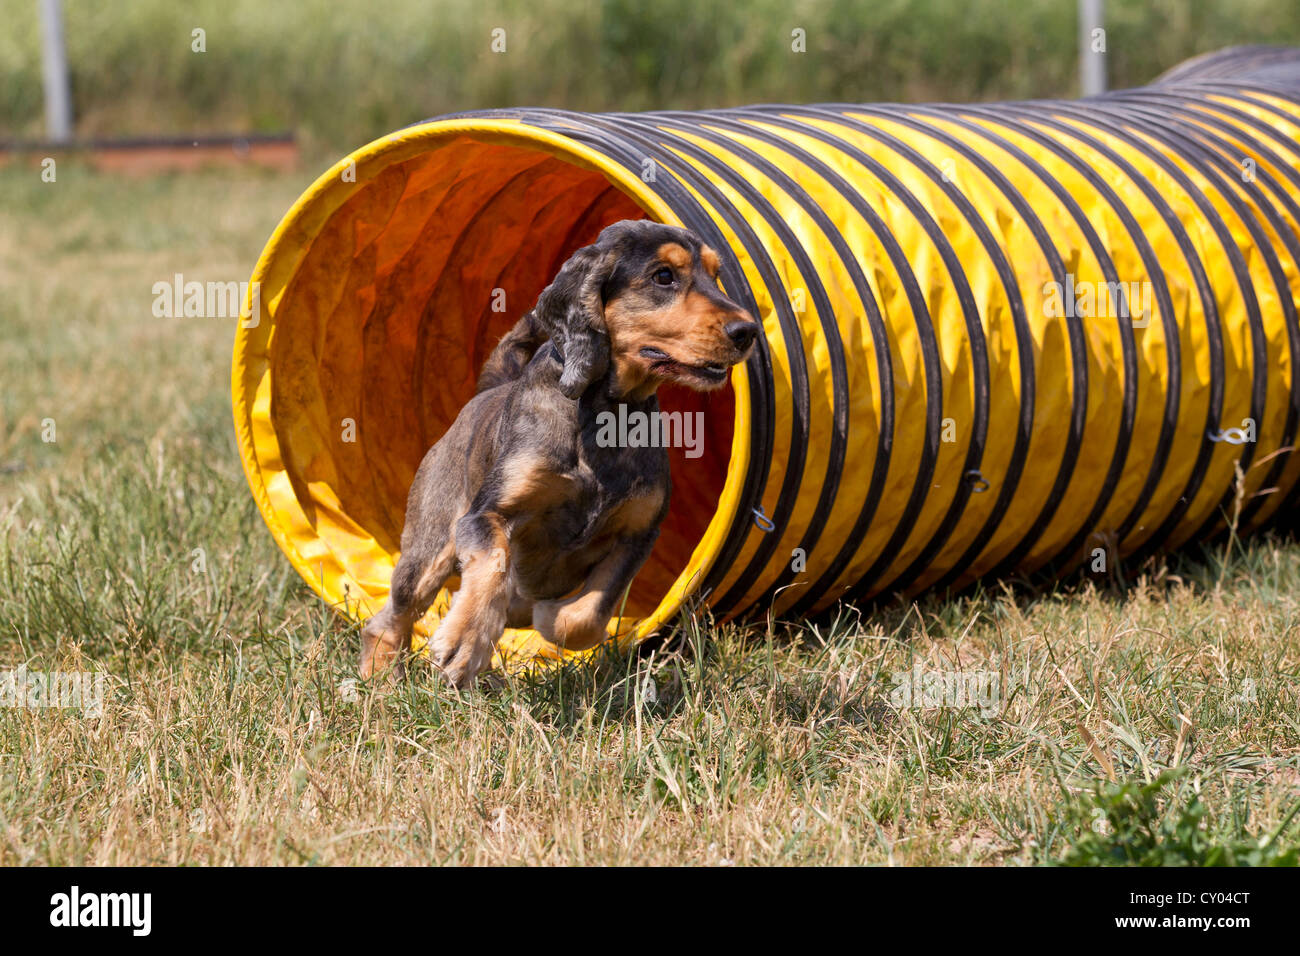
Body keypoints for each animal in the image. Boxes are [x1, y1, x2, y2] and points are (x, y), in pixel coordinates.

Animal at [361, 222, 759, 686]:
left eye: (716, 275)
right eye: (663, 276)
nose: (748, 331)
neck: (604, 413)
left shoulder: (638, 533)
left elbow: (588, 614)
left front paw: (548, 615)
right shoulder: (486, 515)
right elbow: (494, 563)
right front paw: (463, 642)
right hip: (431, 543)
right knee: (392, 614)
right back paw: (377, 677)